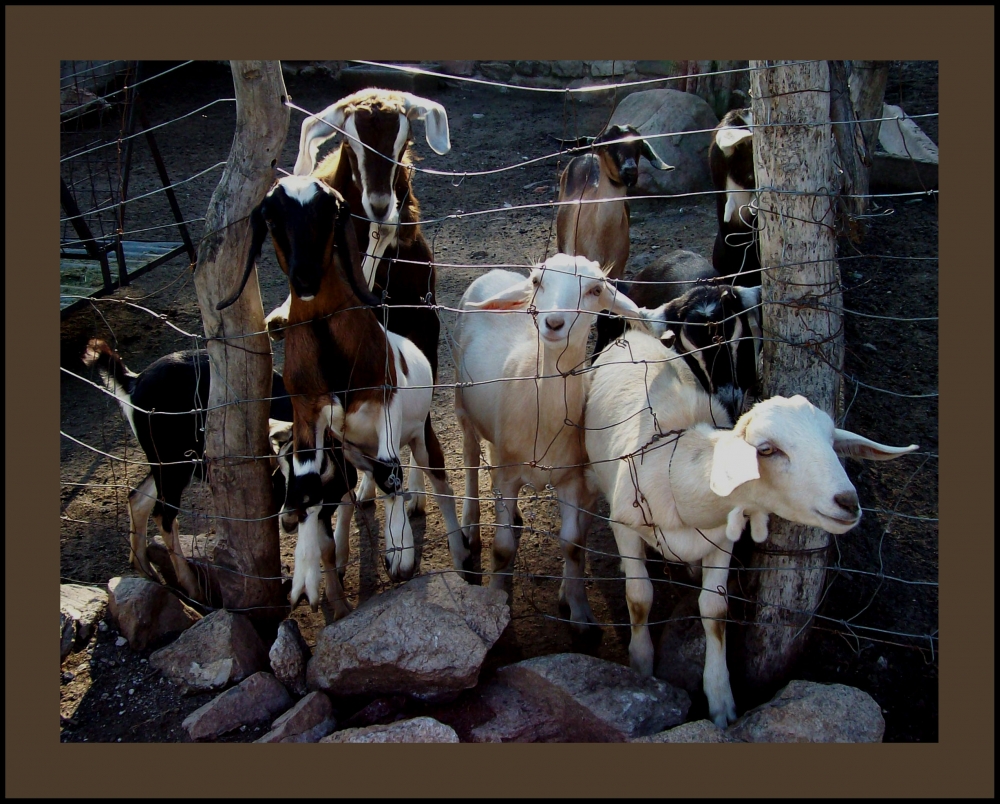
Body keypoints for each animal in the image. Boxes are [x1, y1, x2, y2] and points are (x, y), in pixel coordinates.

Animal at [82, 336, 294, 600]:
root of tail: (134, 382)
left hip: (167, 461)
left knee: (137, 498)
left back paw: (146, 569)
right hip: (174, 461)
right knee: (162, 513)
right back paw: (193, 588)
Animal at [219, 179, 468, 612]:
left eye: (330, 212)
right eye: (272, 218)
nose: (305, 278)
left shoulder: (385, 401)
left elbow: (391, 471)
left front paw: (399, 550)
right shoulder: (307, 414)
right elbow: (310, 487)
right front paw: (306, 577)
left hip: (422, 435)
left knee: (437, 484)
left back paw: (456, 549)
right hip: (349, 449)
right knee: (355, 492)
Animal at [452, 254, 640, 632]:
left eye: (595, 290)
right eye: (538, 282)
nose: (553, 323)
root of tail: (496, 273)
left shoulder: (570, 477)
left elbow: (573, 545)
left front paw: (580, 614)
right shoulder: (508, 473)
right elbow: (503, 549)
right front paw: (496, 599)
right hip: (462, 404)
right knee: (470, 457)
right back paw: (471, 522)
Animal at [584, 328, 920, 728]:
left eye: (832, 443)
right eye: (767, 449)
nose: (848, 502)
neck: (676, 474)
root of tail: (633, 333)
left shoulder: (722, 541)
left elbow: (715, 609)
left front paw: (721, 701)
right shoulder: (625, 527)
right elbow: (639, 598)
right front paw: (641, 668)